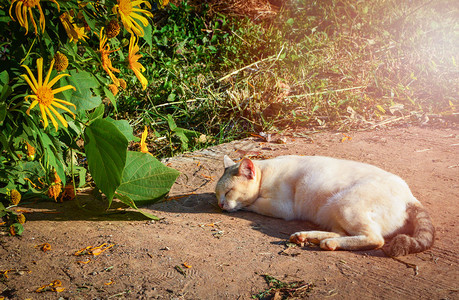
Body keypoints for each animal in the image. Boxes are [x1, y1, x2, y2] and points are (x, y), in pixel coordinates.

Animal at [216, 155, 434, 255]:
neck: (264, 172)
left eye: (228, 192)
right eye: (217, 194)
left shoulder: (283, 207)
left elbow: (251, 203)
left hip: (345, 205)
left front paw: (240, 205)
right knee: (342, 233)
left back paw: (327, 243)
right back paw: (308, 237)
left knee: (375, 239)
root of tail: (410, 196)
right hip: (332, 210)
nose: (220, 204)